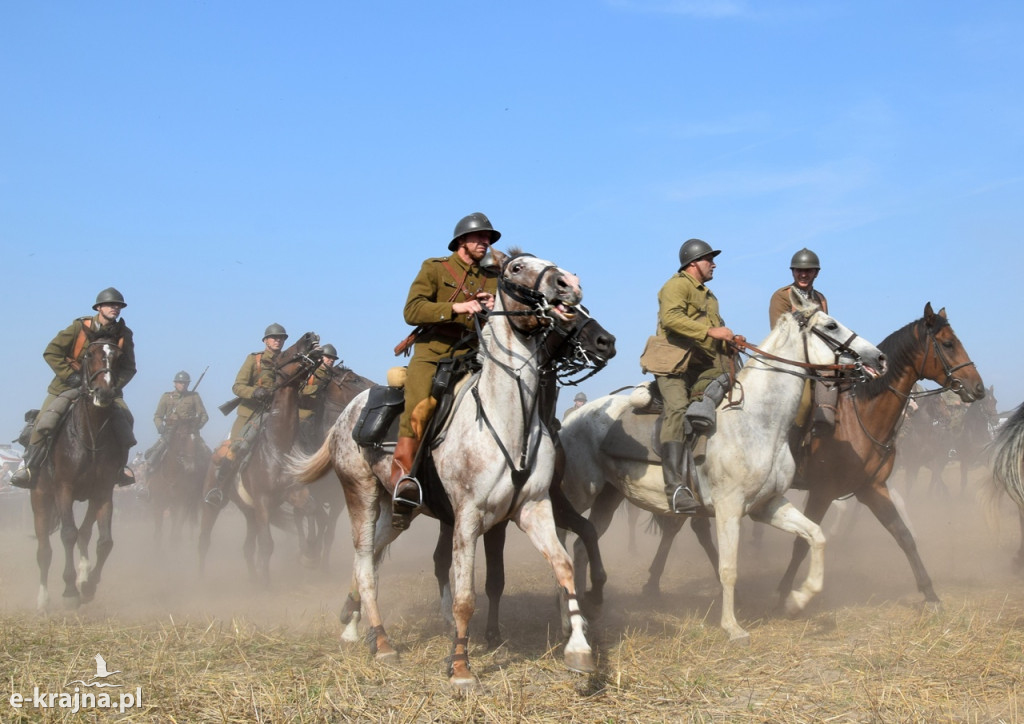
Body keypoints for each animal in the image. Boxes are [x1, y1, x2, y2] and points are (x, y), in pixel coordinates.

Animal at [31, 319, 134, 610]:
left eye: (119, 357)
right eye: (89, 354)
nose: (105, 392)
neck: (91, 435)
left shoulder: (104, 491)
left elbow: (104, 541)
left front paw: (87, 586)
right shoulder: (63, 489)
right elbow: (68, 534)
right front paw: (69, 590)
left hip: (88, 497)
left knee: (86, 534)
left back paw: (83, 577)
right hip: (40, 497)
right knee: (44, 549)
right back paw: (42, 600)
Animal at [199, 333, 323, 589]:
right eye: (285, 353)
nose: (311, 336)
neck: (279, 446)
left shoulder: (292, 494)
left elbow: (311, 509)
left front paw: (309, 555)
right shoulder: (263, 501)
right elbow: (267, 544)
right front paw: (266, 584)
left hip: (250, 513)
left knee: (247, 547)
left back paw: (253, 578)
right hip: (213, 505)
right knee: (204, 540)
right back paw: (199, 580)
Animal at [288, 251, 598, 688]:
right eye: (517, 267)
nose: (569, 284)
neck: (508, 419)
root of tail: (347, 412)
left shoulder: (534, 508)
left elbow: (564, 567)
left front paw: (580, 650)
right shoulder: (468, 518)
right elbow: (465, 596)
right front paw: (461, 667)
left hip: (400, 510)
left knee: (370, 555)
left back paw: (353, 627)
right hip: (360, 494)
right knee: (365, 563)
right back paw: (382, 642)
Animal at [557, 290, 884, 643]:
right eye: (831, 325)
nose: (879, 358)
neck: (758, 420)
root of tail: (572, 420)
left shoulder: (768, 505)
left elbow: (816, 536)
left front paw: (797, 600)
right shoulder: (729, 509)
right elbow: (729, 569)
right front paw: (732, 626)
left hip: (608, 497)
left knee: (581, 543)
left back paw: (588, 609)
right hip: (579, 493)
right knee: (561, 537)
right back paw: (568, 618)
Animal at [778, 303, 987, 610]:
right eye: (948, 343)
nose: (978, 387)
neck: (859, 418)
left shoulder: (872, 488)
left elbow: (904, 535)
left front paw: (930, 594)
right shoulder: (822, 492)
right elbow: (803, 543)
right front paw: (785, 592)